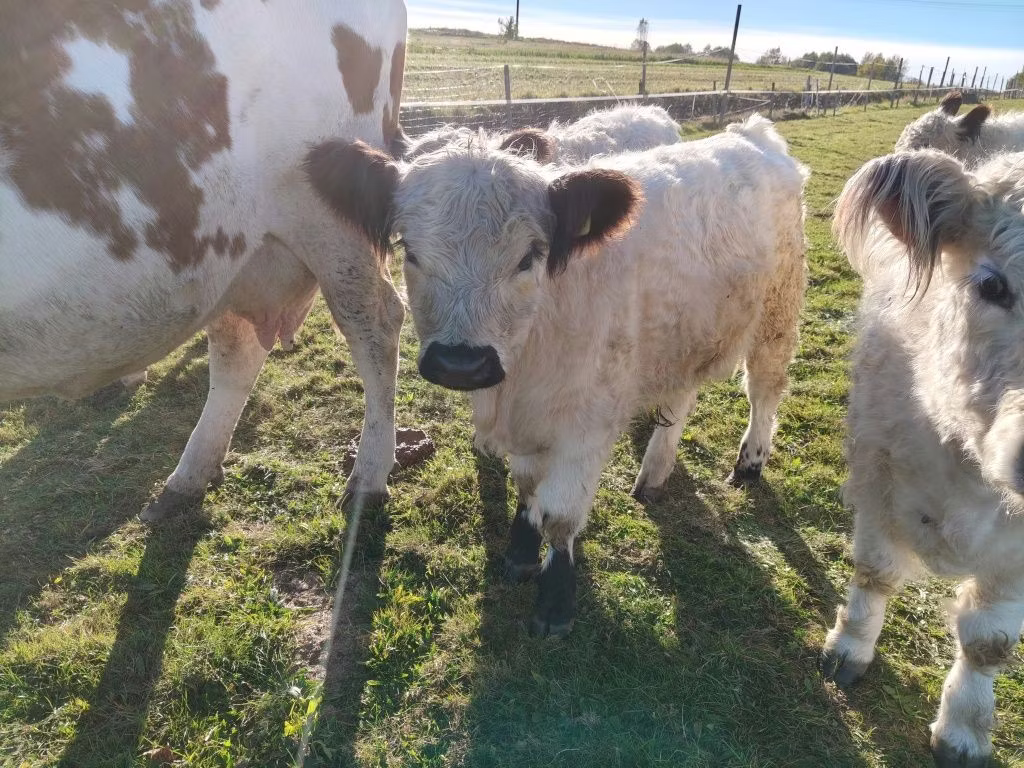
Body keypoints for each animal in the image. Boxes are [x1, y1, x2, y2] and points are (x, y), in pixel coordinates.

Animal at [0, 0, 409, 520]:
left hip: (333, 221)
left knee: (376, 325)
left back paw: (368, 479)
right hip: (236, 251)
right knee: (238, 348)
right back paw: (188, 478)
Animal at [304, 115, 809, 637]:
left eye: (530, 255)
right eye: (410, 251)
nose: (460, 363)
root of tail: (751, 133)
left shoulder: (587, 428)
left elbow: (561, 516)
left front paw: (556, 599)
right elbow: (529, 489)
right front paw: (522, 550)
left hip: (778, 312)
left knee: (765, 390)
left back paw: (750, 462)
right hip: (685, 334)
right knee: (681, 395)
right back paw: (655, 470)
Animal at [822, 148, 1024, 767]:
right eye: (993, 284)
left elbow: (988, 642)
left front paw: (964, 730)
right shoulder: (879, 474)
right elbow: (875, 570)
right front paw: (848, 651)